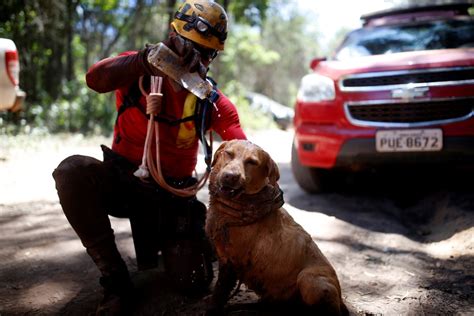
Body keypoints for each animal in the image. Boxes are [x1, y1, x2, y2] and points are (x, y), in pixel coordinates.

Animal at [206, 140, 346, 314]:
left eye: (252, 162)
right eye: (229, 153)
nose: (230, 176)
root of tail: (340, 300)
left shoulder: (231, 262)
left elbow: (220, 291)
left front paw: (212, 308)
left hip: (309, 279)